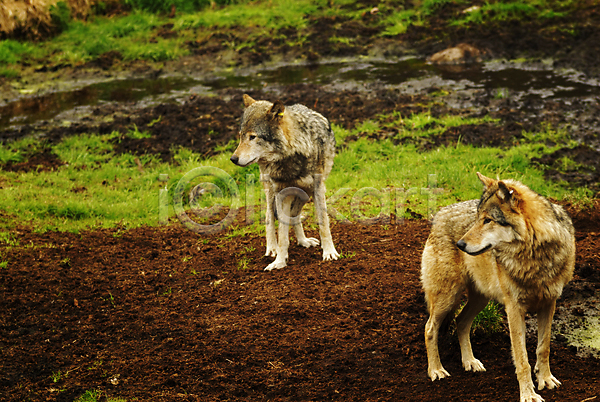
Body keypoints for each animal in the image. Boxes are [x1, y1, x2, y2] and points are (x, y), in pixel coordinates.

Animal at [231, 94, 340, 270]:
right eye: (241, 136)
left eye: (252, 137)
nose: (233, 159)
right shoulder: (281, 194)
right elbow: (282, 234)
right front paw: (279, 261)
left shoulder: (318, 189)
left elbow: (323, 223)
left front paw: (329, 252)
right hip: (271, 191)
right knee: (269, 216)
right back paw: (272, 248)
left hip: (304, 194)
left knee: (294, 215)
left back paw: (303, 241)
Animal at [420, 172, 576, 402]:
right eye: (477, 218)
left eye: (488, 220)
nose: (460, 245)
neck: (533, 257)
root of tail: (439, 214)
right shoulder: (514, 309)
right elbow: (522, 358)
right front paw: (528, 394)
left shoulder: (549, 303)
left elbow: (543, 348)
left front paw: (545, 380)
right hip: (448, 297)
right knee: (430, 328)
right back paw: (436, 370)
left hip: (480, 299)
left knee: (460, 322)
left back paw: (470, 362)